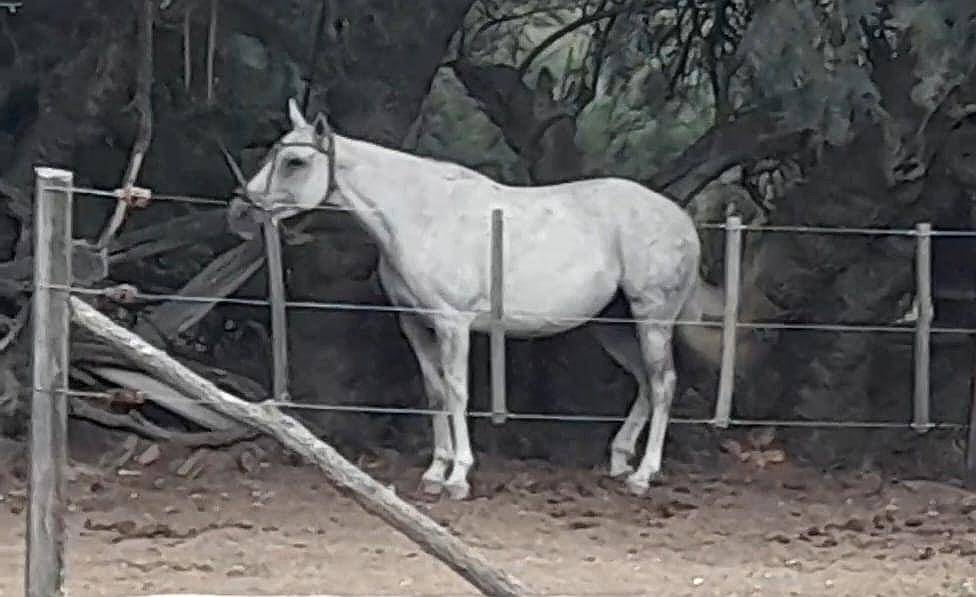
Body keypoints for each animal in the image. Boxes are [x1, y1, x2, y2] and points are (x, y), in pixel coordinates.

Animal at [237, 98, 709, 499]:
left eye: (295, 162)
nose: (240, 211)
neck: (421, 215)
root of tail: (682, 219)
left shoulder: (453, 323)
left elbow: (458, 391)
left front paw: (458, 477)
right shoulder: (415, 323)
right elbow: (435, 392)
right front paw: (434, 472)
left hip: (652, 318)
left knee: (663, 383)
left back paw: (644, 475)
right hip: (611, 325)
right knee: (645, 381)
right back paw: (621, 462)